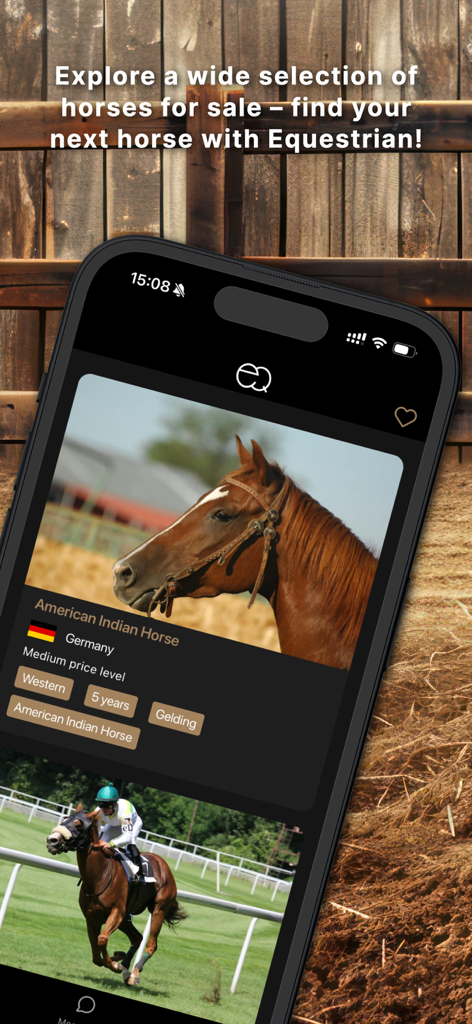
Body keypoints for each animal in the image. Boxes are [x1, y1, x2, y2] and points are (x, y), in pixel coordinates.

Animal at [46, 806, 186, 986]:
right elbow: (95, 954)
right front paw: (117, 960)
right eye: (64, 819)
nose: (52, 840)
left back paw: (134, 973)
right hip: (126, 918)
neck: (100, 875)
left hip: (158, 910)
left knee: (151, 943)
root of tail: (164, 864)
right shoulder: (92, 917)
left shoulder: (116, 912)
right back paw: (125, 966)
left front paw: (115, 965)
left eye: (78, 825)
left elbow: (102, 939)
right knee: (137, 938)